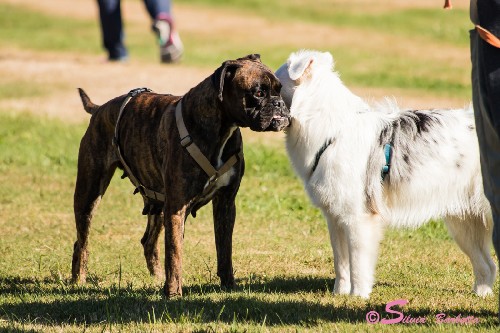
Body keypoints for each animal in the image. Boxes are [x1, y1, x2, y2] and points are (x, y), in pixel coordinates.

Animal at [71, 54, 290, 296]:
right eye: (258, 93)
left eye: (279, 90)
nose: (280, 104)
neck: (221, 128)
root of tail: (100, 109)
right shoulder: (177, 207)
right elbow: (175, 253)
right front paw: (174, 293)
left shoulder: (225, 203)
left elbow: (225, 249)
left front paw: (228, 285)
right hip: (89, 194)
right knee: (82, 241)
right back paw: (78, 280)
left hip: (158, 202)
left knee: (148, 241)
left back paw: (157, 277)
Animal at [278, 50, 496, 298]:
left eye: (274, 83)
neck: (332, 129)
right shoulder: (335, 218)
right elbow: (341, 263)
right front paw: (339, 295)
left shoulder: (359, 218)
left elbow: (358, 265)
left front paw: (358, 297)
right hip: (464, 223)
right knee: (487, 265)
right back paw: (481, 294)